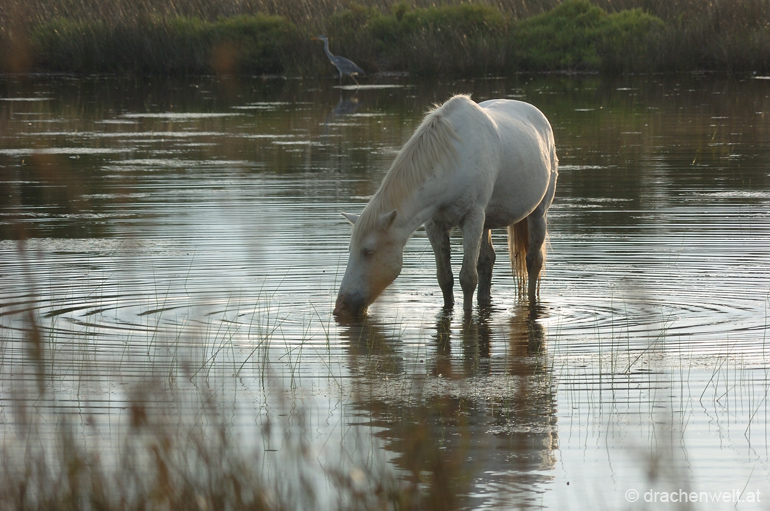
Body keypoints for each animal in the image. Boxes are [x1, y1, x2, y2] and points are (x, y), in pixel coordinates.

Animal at [332, 92, 556, 316]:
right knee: (487, 262)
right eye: (350, 250)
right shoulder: (435, 225)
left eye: (368, 252)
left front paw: (466, 316)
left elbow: (467, 278)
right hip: (487, 221)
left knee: (533, 260)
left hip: (538, 212)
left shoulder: (472, 219)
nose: (341, 307)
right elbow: (445, 278)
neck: (452, 162)